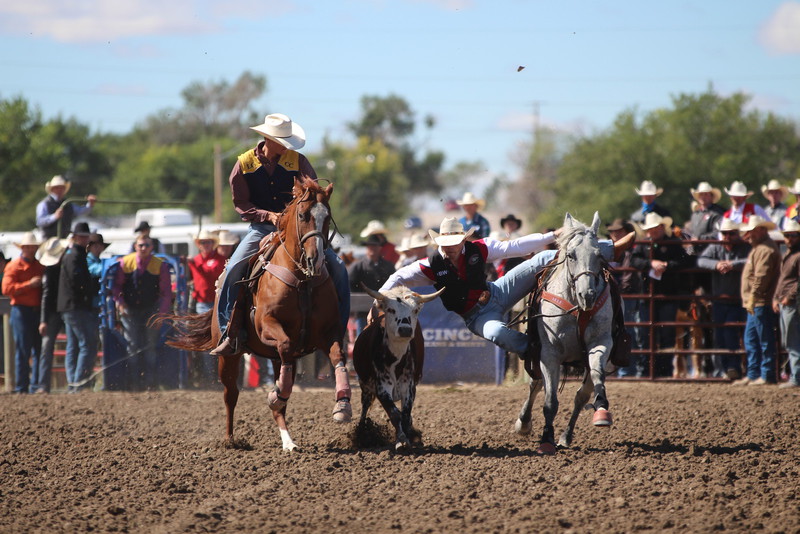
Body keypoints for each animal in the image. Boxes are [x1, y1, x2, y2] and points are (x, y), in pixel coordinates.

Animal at [162, 180, 350, 452]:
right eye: (303, 215)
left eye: (327, 216)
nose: (316, 260)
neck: (302, 280)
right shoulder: (266, 326)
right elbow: (285, 344)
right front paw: (275, 394)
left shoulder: (327, 333)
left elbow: (337, 356)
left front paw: (342, 406)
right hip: (228, 358)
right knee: (231, 394)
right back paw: (231, 439)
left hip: (276, 359)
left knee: (281, 397)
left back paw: (288, 439)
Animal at [516, 214, 616, 456]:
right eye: (571, 255)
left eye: (599, 255)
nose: (587, 295)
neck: (577, 308)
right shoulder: (549, 354)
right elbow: (550, 402)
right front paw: (546, 439)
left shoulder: (601, 343)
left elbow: (597, 377)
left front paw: (602, 410)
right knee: (536, 385)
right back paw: (524, 423)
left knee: (581, 396)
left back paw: (566, 436)